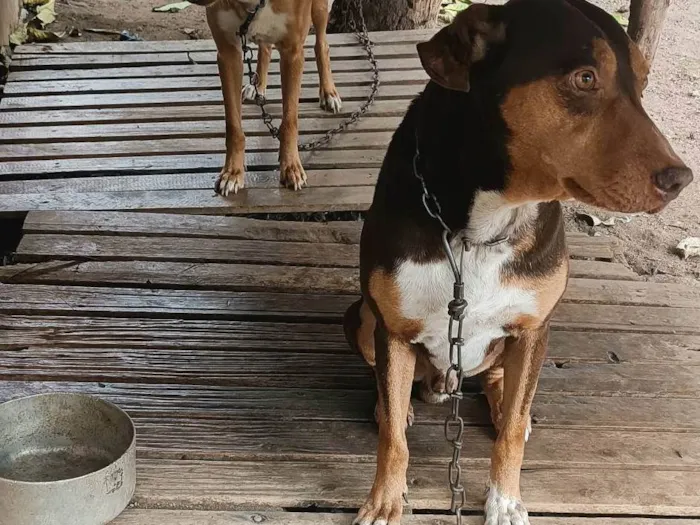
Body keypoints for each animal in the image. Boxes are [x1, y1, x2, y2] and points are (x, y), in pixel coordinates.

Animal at [193, 0, 344, 194]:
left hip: (320, 9)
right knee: (265, 47)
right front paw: (232, 172)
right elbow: (233, 126)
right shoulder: (228, 52)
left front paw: (291, 167)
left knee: (321, 44)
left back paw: (328, 92)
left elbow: (290, 121)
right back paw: (258, 86)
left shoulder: (292, 51)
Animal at [342, 1, 692, 524]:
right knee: (394, 394)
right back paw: (398, 406)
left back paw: (505, 404)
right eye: (585, 78)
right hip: (360, 317)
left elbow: (508, 435)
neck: (481, 228)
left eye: (645, 79)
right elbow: (394, 441)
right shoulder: (393, 329)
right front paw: (385, 500)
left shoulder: (533, 330)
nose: (680, 179)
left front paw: (505, 500)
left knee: (501, 385)